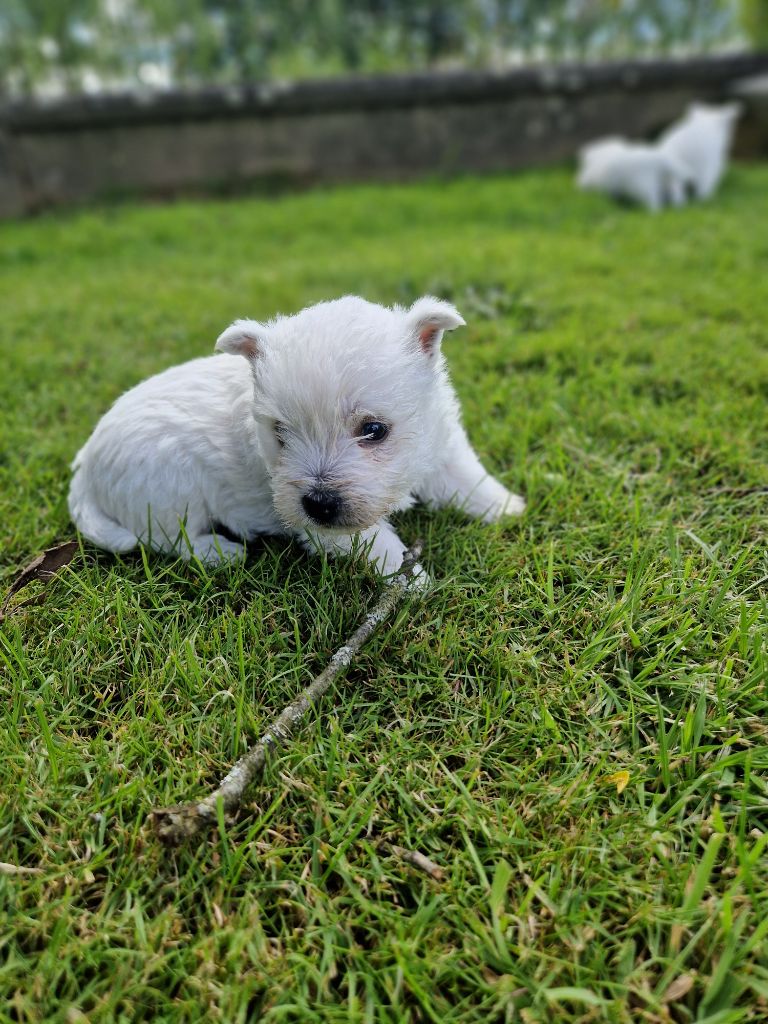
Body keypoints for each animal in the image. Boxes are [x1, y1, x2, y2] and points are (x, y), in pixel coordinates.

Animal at [69, 299, 528, 581]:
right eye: (280, 432)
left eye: (373, 430)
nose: (318, 503)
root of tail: (86, 464)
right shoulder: (331, 530)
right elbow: (381, 545)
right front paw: (414, 583)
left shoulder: (442, 446)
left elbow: (470, 480)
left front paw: (508, 508)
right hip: (169, 489)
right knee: (168, 538)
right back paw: (217, 551)